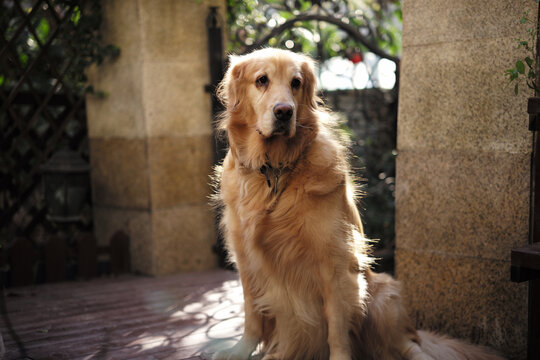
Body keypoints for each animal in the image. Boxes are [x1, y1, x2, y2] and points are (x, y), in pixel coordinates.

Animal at [209, 48, 504, 360]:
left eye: (296, 83)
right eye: (261, 80)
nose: (284, 111)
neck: (276, 170)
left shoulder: (336, 263)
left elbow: (337, 325)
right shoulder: (245, 257)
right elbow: (252, 312)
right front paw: (240, 349)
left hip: (384, 298)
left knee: (410, 346)